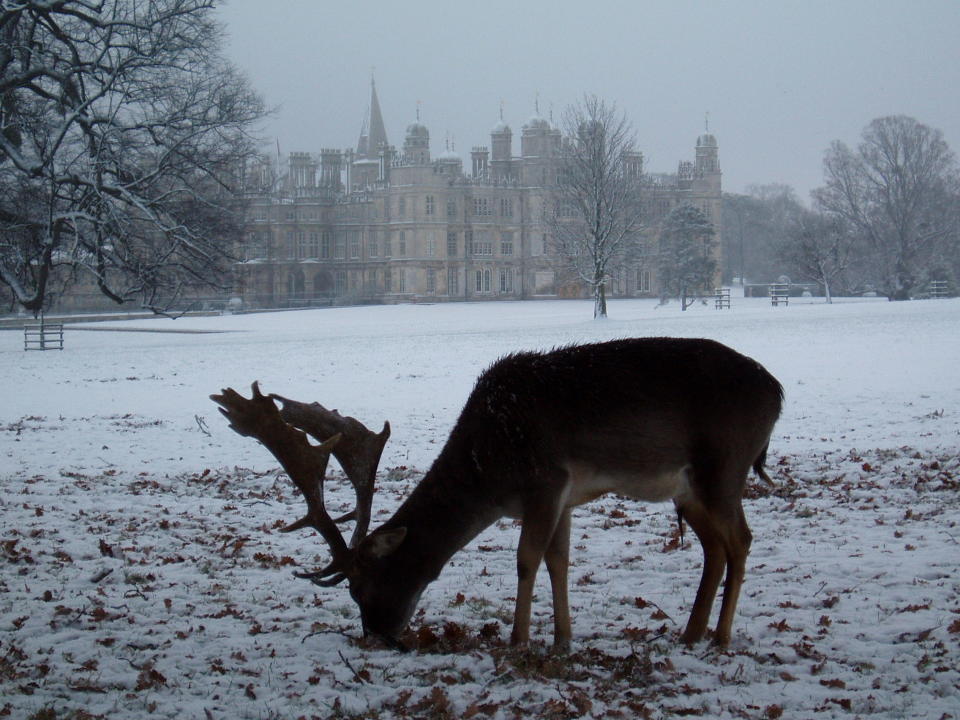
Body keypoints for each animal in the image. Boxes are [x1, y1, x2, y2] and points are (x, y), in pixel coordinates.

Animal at [214, 338, 784, 652]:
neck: (489, 468)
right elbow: (558, 560)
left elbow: (527, 559)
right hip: (688, 489)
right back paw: (691, 633)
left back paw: (721, 638)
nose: (377, 634)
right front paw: (562, 640)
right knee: (715, 548)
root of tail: (776, 393)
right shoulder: (566, 496)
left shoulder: (546, 480)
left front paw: (518, 641)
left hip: (724, 466)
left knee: (742, 541)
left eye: (361, 586)